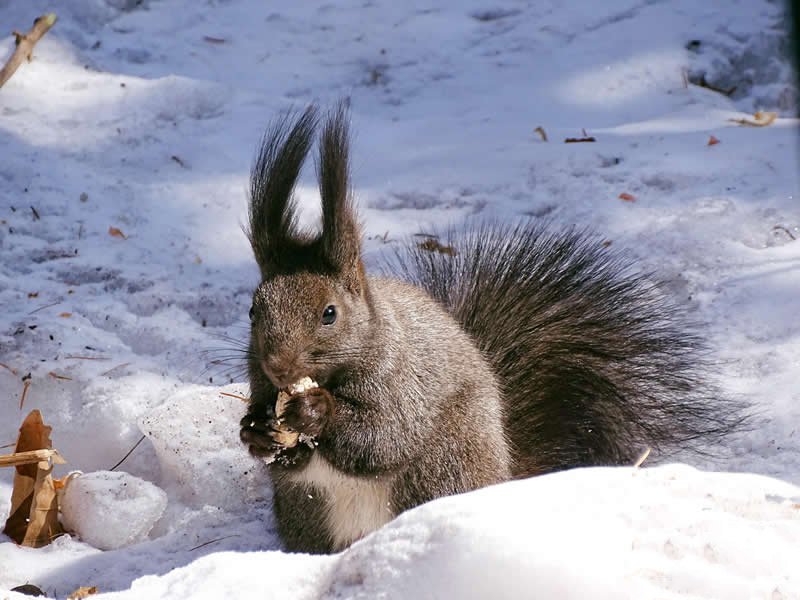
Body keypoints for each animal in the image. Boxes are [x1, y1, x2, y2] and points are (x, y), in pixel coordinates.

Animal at [236, 105, 744, 556]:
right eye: (253, 311)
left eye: (329, 314)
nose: (278, 367)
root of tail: (501, 476)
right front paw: (256, 430)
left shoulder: (403, 382)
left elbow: (384, 437)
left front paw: (315, 411)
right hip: (307, 512)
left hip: (443, 466)